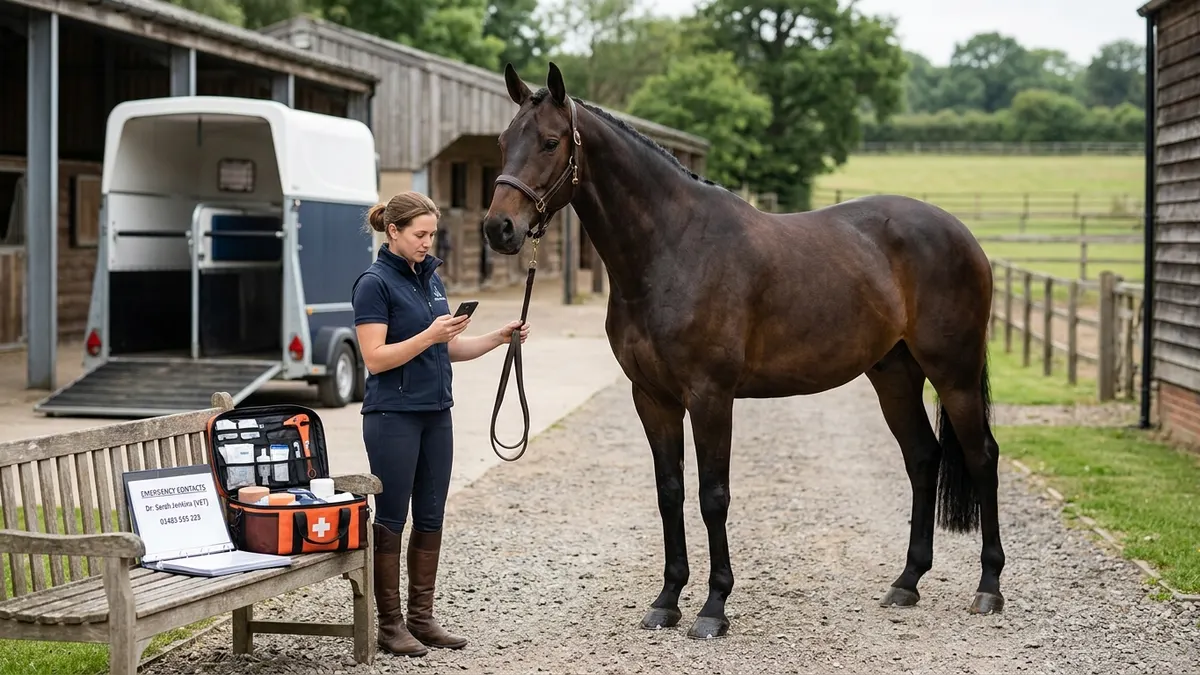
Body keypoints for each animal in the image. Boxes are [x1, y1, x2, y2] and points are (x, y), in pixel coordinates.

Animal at [480, 62, 1004, 640]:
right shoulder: (653, 398)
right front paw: (666, 601)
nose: (499, 228)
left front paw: (714, 608)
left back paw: (989, 588)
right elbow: (670, 492)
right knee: (922, 458)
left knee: (981, 456)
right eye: (502, 142)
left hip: (954, 372)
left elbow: (714, 496)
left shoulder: (711, 396)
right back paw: (907, 582)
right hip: (894, 375)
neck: (674, 248)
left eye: (551, 142)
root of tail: (961, 233)